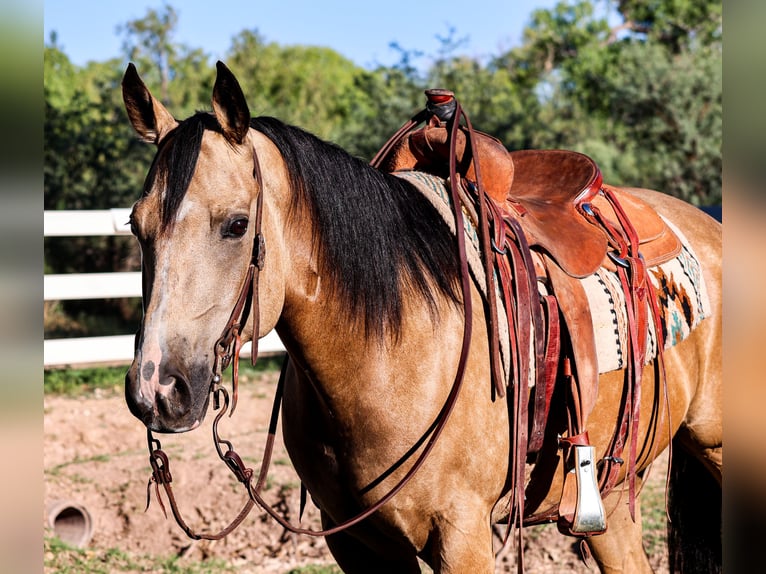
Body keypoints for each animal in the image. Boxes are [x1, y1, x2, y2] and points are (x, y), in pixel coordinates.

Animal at [121, 60, 728, 572]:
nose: (157, 389)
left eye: (237, 224)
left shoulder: (462, 536)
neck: (385, 354)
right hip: (610, 495)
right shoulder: (355, 541)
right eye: (134, 225)